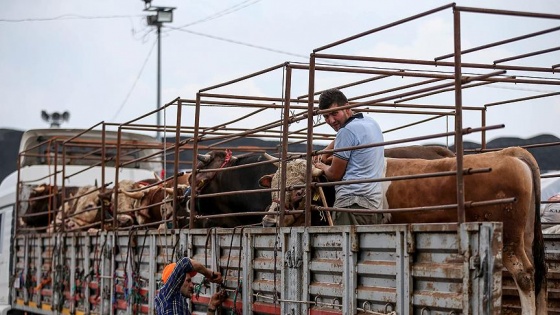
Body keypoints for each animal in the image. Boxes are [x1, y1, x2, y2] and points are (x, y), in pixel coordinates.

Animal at [262, 148, 548, 315]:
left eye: (298, 190)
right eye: (273, 185)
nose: (267, 221)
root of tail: (509, 155)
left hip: (510, 241)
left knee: (524, 275)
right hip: (526, 237)